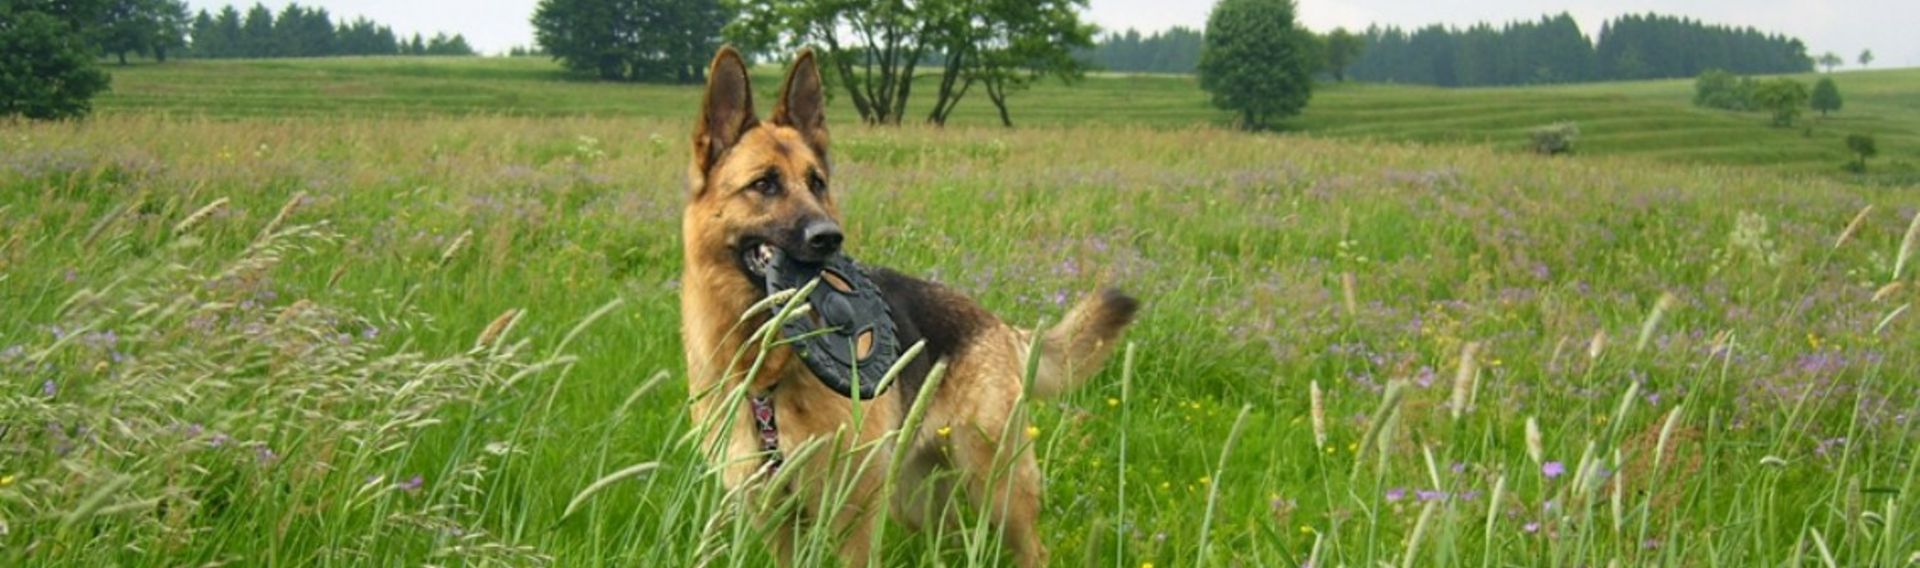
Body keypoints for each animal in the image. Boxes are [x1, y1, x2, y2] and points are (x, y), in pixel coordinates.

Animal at [683, 46, 1136, 564]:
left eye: (817, 183)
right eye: (764, 185)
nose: (830, 238)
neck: (767, 373)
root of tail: (997, 324)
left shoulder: (853, 514)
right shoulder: (776, 518)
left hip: (996, 487)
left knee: (1031, 550)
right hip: (916, 498)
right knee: (952, 536)